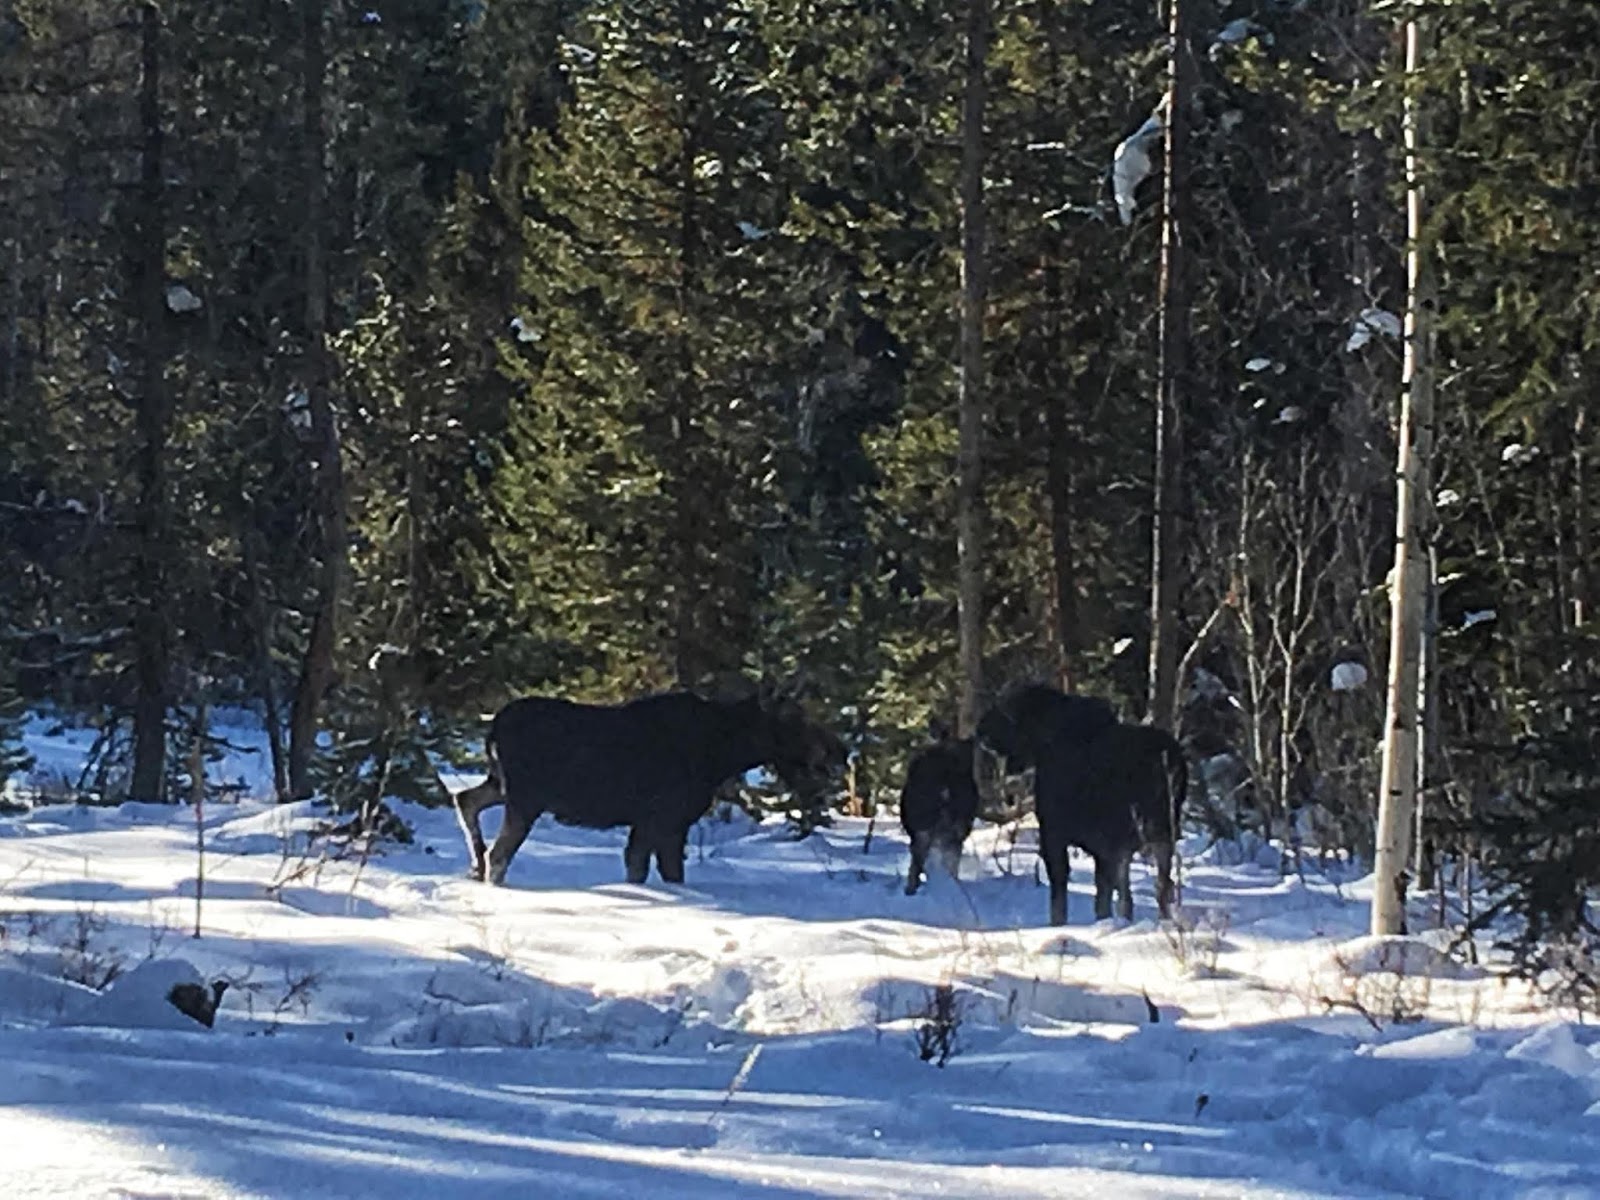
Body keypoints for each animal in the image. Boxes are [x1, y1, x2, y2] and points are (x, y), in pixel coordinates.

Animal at [454, 681, 844, 889]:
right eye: (794, 719)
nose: (839, 750)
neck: (723, 752)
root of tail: (492, 729)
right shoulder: (668, 819)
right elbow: (669, 872)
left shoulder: (647, 821)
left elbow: (636, 868)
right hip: (525, 797)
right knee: (499, 852)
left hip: (500, 784)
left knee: (465, 799)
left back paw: (474, 866)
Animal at [966, 684, 1184, 928]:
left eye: (1006, 707)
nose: (981, 729)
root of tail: (1173, 763)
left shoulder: (1056, 833)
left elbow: (1063, 894)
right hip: (1162, 830)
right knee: (1159, 886)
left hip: (1141, 829)